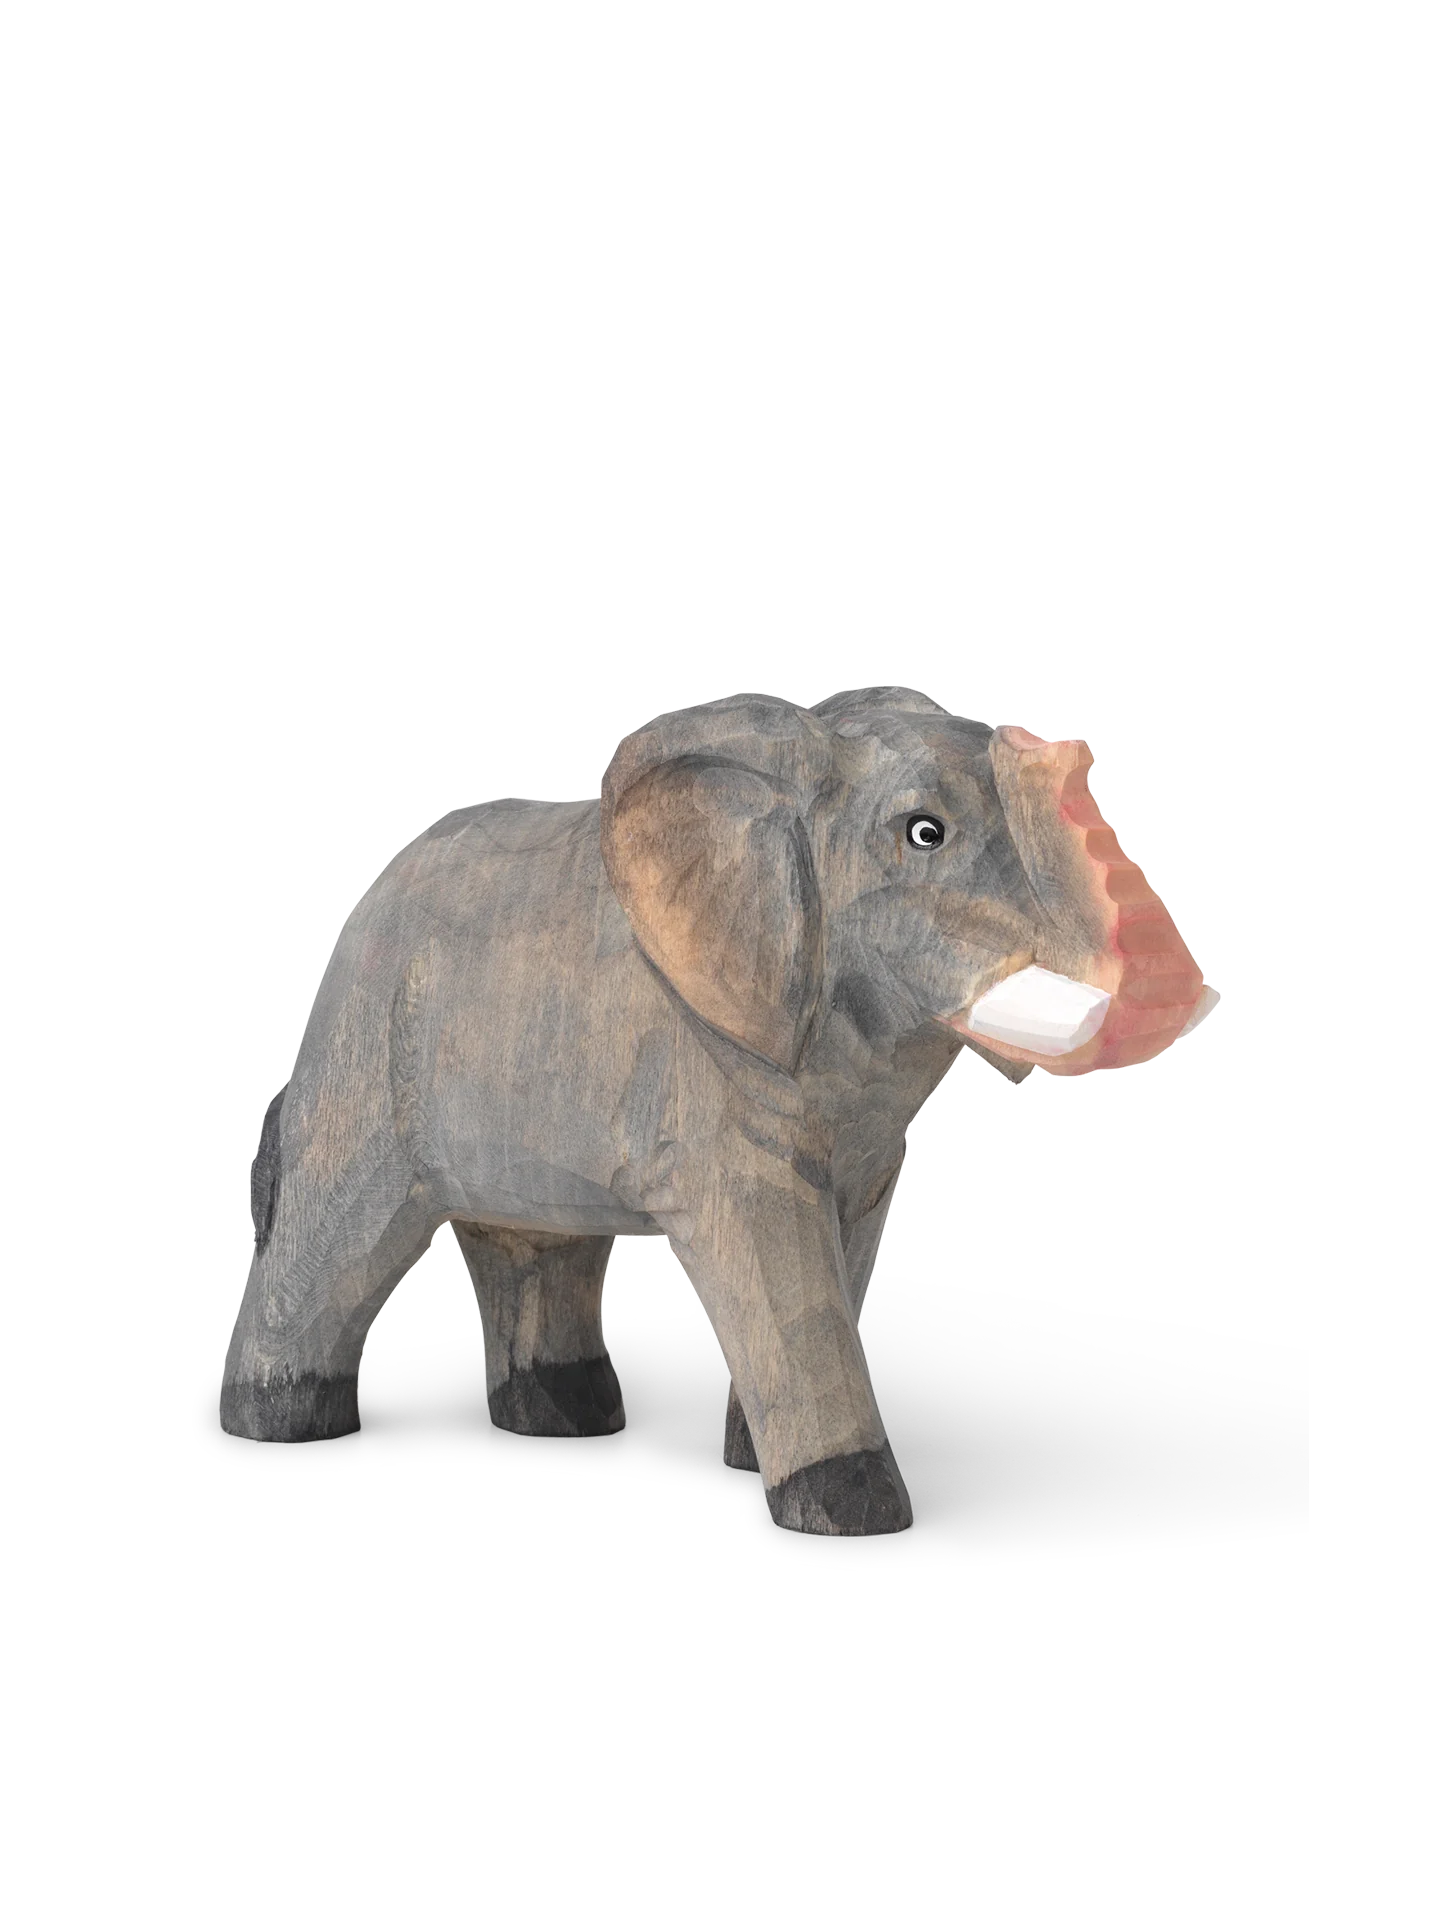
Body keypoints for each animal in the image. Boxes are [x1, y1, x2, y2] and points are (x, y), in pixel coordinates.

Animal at [219, 681, 1206, 1535]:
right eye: (924, 832)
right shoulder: (708, 1061)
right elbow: (769, 1238)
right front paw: (852, 1510)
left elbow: (847, 1236)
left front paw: (757, 1467)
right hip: (370, 1055)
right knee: (340, 1225)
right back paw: (279, 1423)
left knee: (533, 1238)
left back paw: (566, 1416)